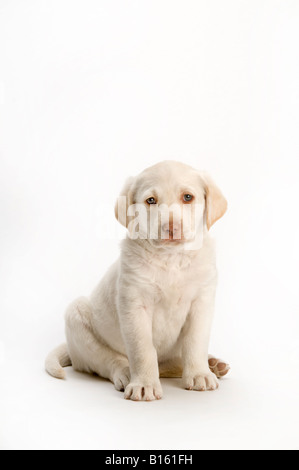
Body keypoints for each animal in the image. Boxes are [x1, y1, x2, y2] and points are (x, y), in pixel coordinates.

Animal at [46, 162, 230, 400]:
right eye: (151, 200)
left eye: (188, 197)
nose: (172, 228)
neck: (171, 259)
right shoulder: (135, 305)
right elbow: (143, 349)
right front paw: (144, 384)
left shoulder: (201, 302)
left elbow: (195, 342)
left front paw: (199, 374)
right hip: (77, 319)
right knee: (109, 361)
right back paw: (126, 374)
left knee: (169, 364)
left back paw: (213, 365)